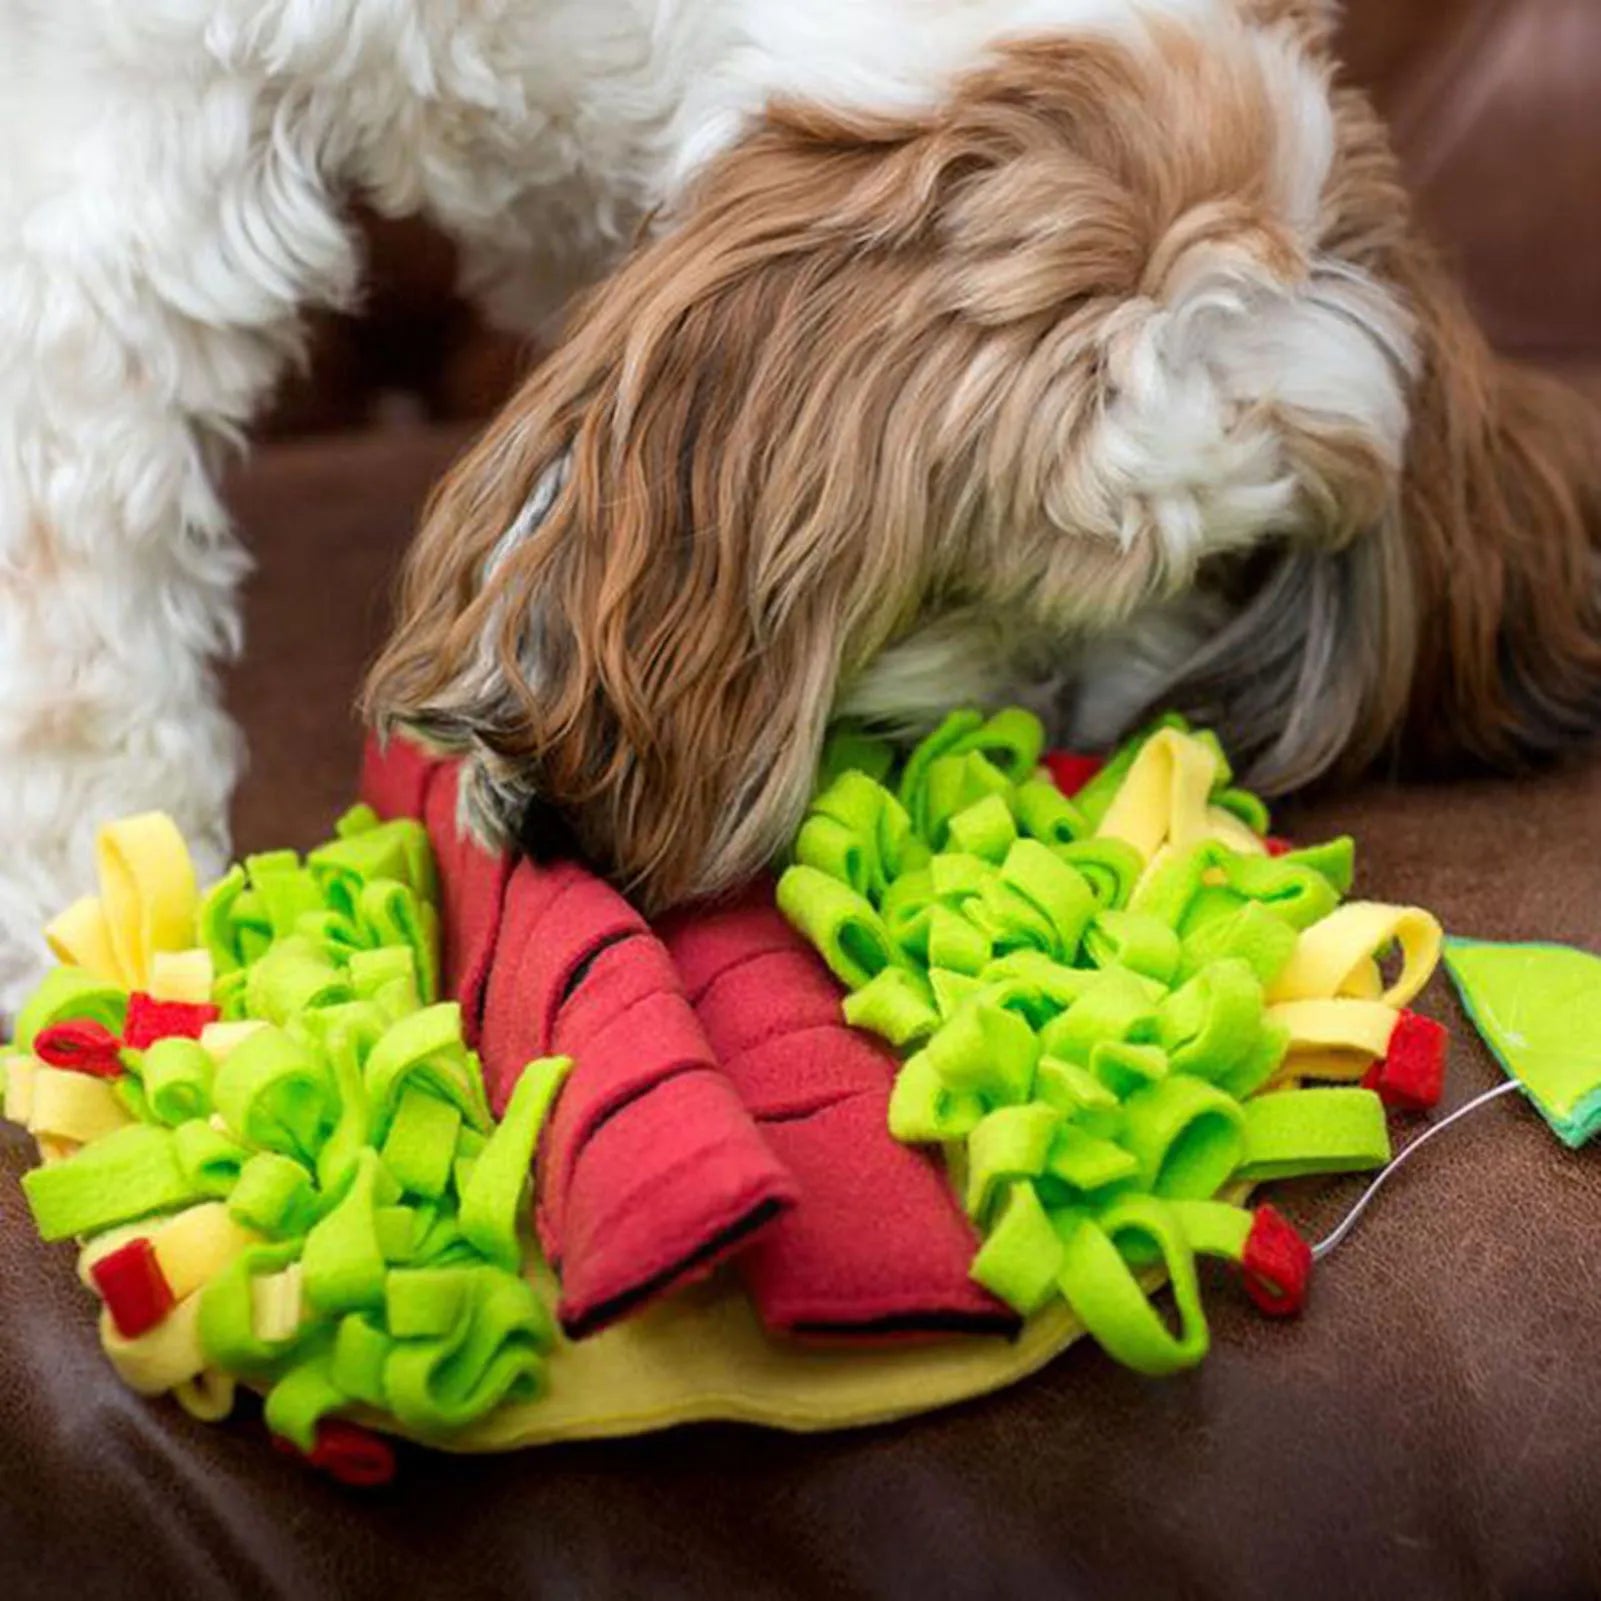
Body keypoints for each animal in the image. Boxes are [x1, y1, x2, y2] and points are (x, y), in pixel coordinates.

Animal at [3, 3, 1601, 1011]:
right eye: (966, 581)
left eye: (1223, 569)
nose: (1055, 715)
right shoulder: (138, 122)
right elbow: (74, 584)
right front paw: (98, 899)